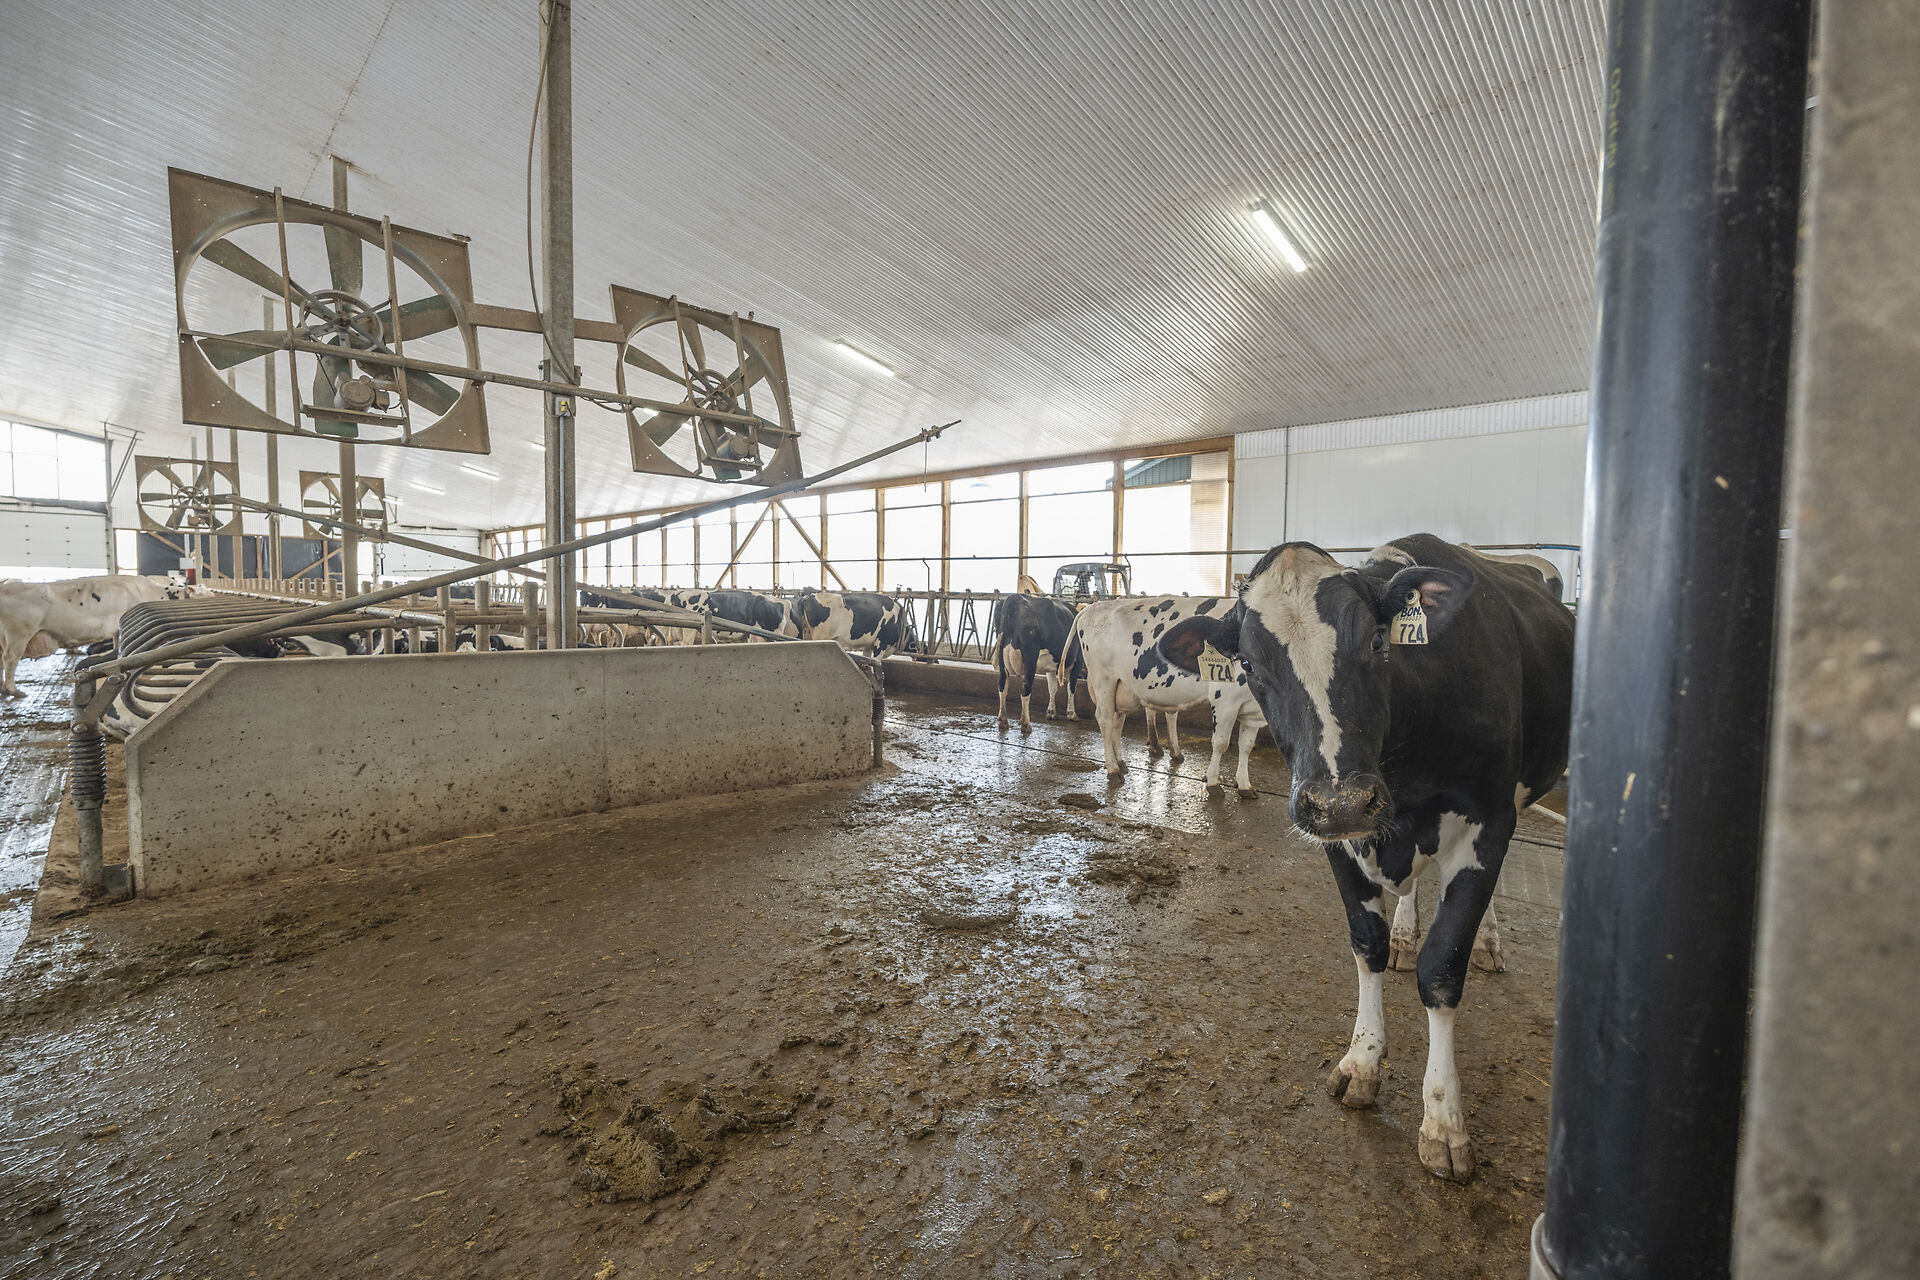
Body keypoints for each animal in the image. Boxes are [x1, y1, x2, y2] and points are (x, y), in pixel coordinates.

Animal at [991, 594, 1083, 733]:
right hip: (1030, 657)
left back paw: (1003, 721)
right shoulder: (1078, 661)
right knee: (1026, 688)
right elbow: (1071, 687)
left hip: (1002, 657)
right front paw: (1072, 714)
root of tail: (1015, 597)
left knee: (1002, 686)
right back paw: (1026, 724)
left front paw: (1051, 712)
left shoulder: (1051, 667)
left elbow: (1052, 687)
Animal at [1064, 595, 1268, 793]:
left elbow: (1247, 746)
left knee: (1117, 720)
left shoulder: (1253, 710)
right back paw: (1113, 770)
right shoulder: (1225, 701)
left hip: (1121, 687)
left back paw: (1120, 762)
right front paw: (1213, 783)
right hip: (1103, 679)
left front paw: (1244, 785)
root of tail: (1093, 607)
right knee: (1105, 719)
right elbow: (1220, 743)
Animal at [1158, 536, 1574, 1181]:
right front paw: (1363, 1060)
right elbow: (1366, 945)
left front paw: (1444, 1118)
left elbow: (1442, 967)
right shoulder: (1339, 839)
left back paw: (1486, 941)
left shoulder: (1489, 820)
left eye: (1378, 643)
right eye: (1249, 666)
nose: (1343, 799)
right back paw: (1409, 933)